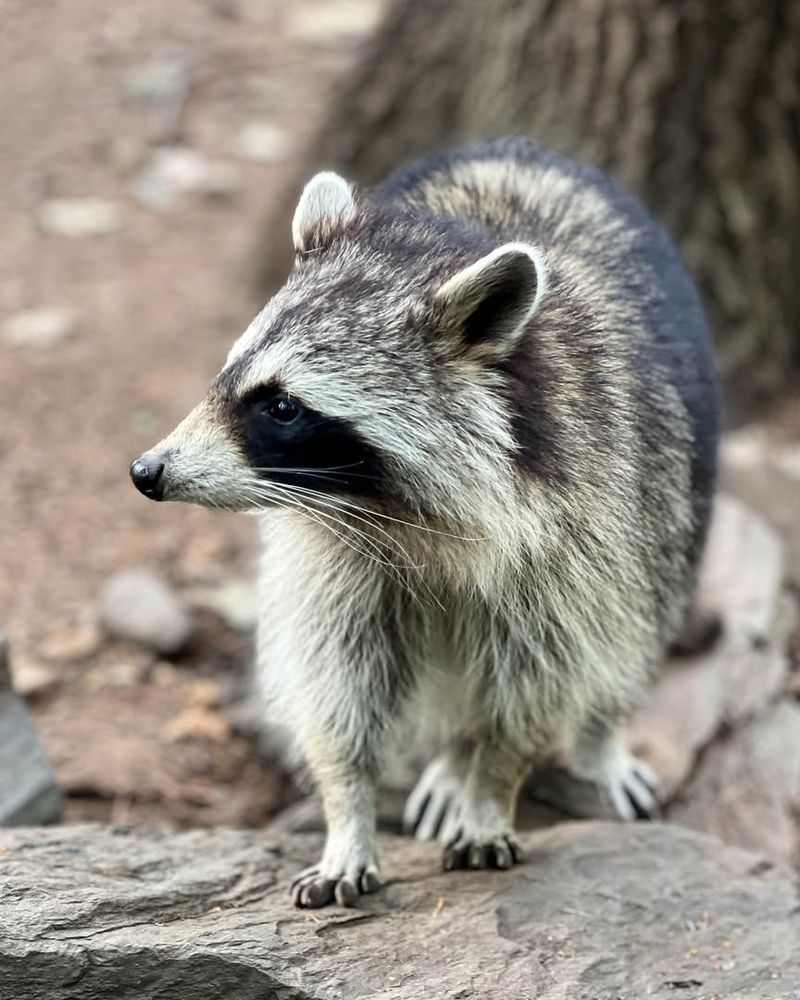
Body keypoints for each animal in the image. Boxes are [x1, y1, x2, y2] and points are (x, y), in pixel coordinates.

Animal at [131, 138, 719, 909]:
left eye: (282, 407)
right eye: (227, 377)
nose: (146, 471)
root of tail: (524, 149)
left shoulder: (578, 522)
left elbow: (544, 674)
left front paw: (493, 785)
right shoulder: (333, 549)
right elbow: (339, 679)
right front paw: (348, 812)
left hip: (673, 486)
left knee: (636, 618)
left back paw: (595, 740)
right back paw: (449, 758)